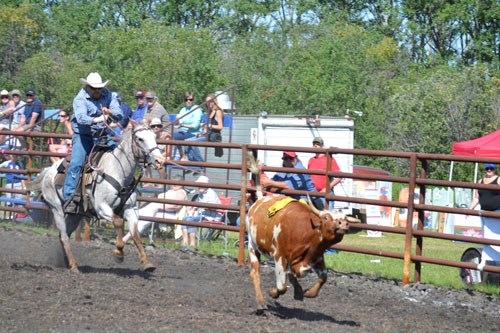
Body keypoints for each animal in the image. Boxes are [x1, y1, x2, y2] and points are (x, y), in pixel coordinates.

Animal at [27, 120, 165, 272]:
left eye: (154, 136)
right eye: (140, 139)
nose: (159, 160)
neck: (117, 171)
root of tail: (48, 170)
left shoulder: (131, 209)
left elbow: (135, 234)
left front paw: (146, 263)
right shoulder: (101, 208)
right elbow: (118, 222)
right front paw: (118, 253)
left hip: (76, 215)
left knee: (64, 235)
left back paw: (67, 262)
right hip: (57, 209)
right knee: (64, 237)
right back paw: (74, 265)